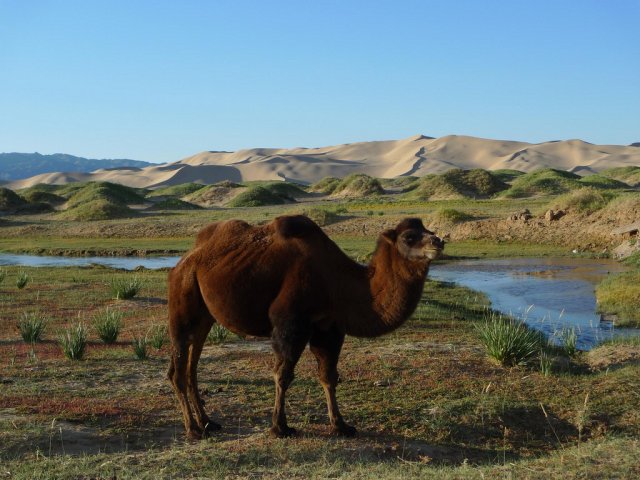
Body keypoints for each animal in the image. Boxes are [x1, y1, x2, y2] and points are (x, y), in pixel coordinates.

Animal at [168, 216, 442, 440]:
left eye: (429, 229)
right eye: (408, 237)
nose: (438, 241)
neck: (338, 282)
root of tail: (186, 259)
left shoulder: (329, 328)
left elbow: (329, 376)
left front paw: (341, 425)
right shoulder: (290, 322)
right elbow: (283, 374)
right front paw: (280, 427)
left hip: (205, 316)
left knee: (192, 366)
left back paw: (207, 422)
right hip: (183, 296)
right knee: (178, 367)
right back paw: (193, 429)